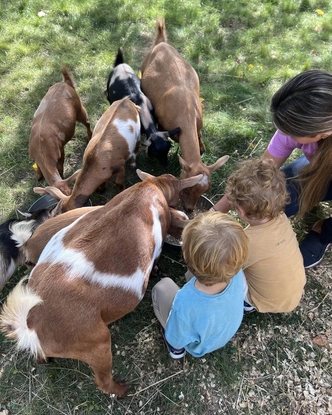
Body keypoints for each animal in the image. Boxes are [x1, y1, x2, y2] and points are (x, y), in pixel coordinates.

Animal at [0, 170, 202, 400]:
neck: (151, 186)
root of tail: (31, 324)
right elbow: (157, 259)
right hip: (98, 343)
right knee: (103, 382)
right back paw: (123, 389)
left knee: (40, 356)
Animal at [29, 67, 92, 197]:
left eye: (70, 191)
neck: (41, 149)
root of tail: (66, 82)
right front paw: (38, 176)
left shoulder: (59, 149)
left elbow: (61, 165)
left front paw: (61, 175)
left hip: (79, 108)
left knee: (87, 122)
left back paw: (90, 136)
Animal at [139, 19, 228, 211]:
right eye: (186, 189)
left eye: (205, 190)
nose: (189, 209)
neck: (185, 112)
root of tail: (161, 42)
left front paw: (202, 147)